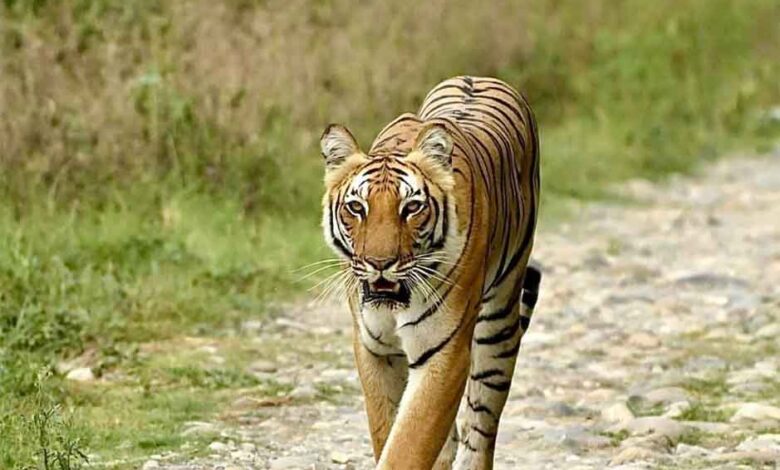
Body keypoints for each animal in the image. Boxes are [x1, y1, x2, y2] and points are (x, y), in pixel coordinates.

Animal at [319, 75, 541, 470]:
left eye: (412, 208)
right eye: (357, 207)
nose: (380, 262)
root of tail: (478, 77)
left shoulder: (445, 353)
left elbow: (409, 443)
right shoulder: (372, 348)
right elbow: (388, 429)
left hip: (498, 326)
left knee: (480, 428)